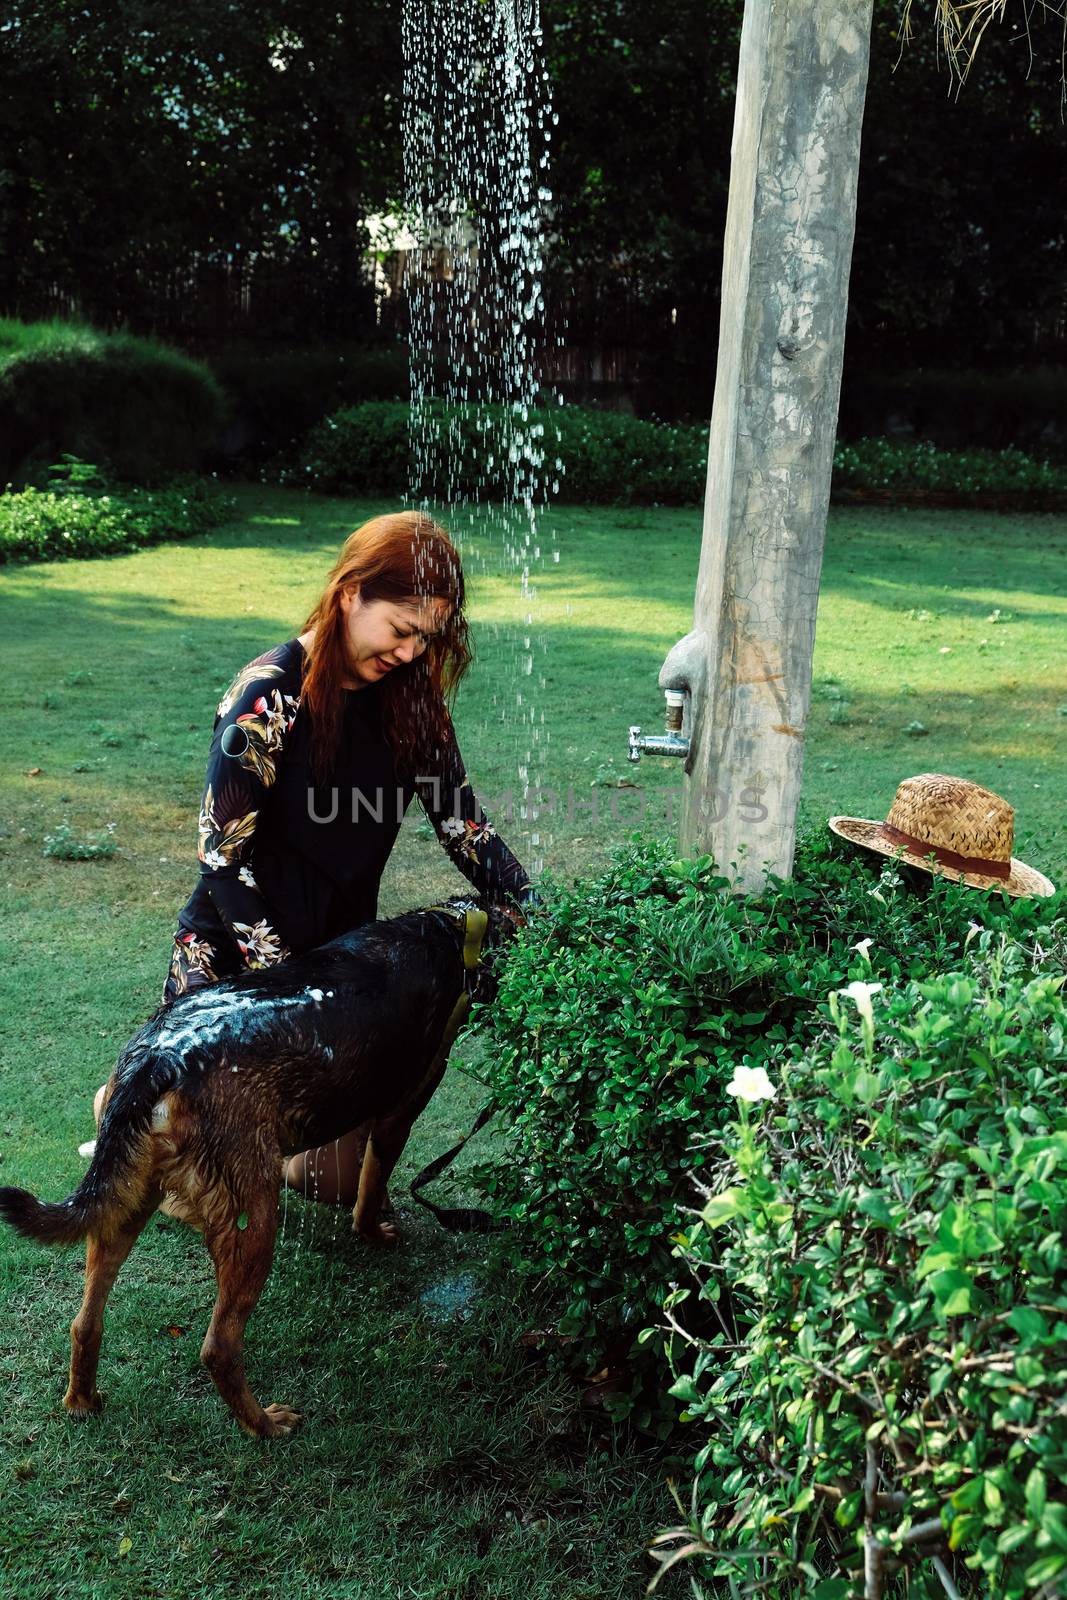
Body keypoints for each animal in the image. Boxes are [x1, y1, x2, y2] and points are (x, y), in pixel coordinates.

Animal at [0, 902, 511, 1440]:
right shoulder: (398, 1114)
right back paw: (264, 1424)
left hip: (124, 1201)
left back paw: (82, 1400)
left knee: (86, 1322)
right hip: (253, 1221)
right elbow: (371, 1186)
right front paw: (374, 1231)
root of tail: (158, 1060)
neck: (452, 929)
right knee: (219, 1347)